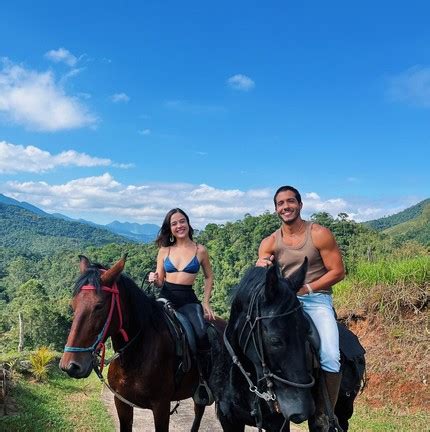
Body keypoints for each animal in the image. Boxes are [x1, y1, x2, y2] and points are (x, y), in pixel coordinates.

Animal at [58, 255, 220, 430]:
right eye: (72, 304)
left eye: (99, 306)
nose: (70, 366)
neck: (136, 354)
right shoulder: (122, 403)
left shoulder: (161, 406)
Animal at [210, 260, 364, 432]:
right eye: (275, 340)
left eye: (307, 332)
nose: (301, 410)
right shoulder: (229, 420)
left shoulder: (278, 424)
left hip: (342, 411)